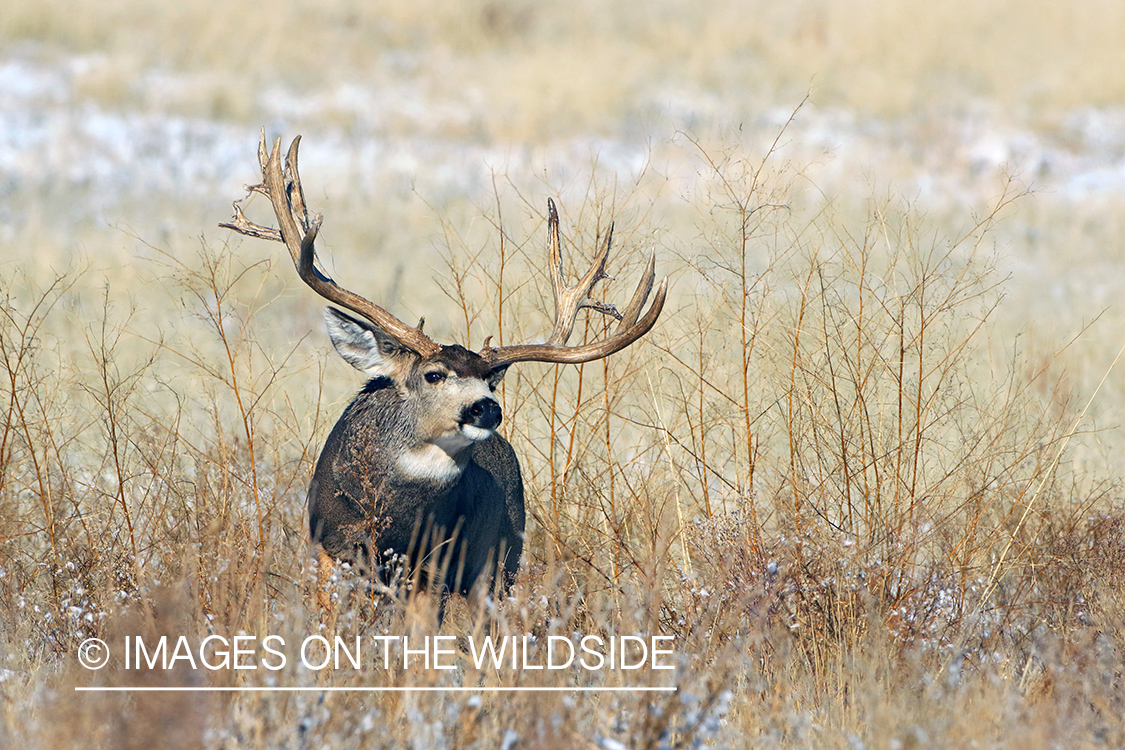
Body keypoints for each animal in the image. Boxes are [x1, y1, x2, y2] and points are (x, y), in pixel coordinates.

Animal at [219, 134, 666, 620]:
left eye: (490, 380)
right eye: (433, 375)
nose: (486, 408)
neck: (396, 522)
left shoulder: (435, 564)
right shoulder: (328, 549)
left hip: (501, 564)